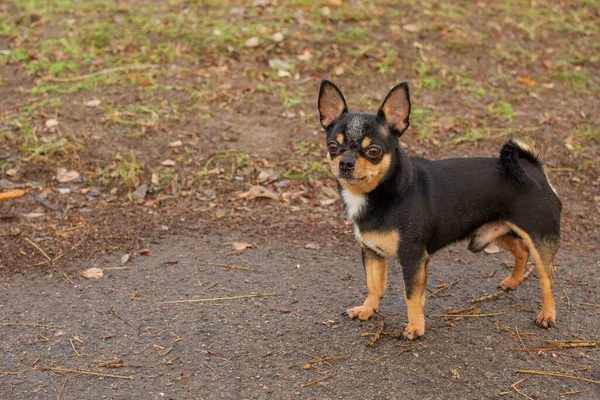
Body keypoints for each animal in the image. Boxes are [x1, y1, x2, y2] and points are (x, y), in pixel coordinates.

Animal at [318, 80, 564, 340]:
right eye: (332, 146)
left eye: (373, 151)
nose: (345, 162)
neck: (382, 191)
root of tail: (535, 169)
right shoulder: (372, 253)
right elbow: (374, 286)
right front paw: (367, 310)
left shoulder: (413, 258)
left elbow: (411, 296)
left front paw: (415, 327)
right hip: (493, 232)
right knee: (521, 251)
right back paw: (512, 282)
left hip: (540, 239)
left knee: (547, 278)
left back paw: (547, 315)